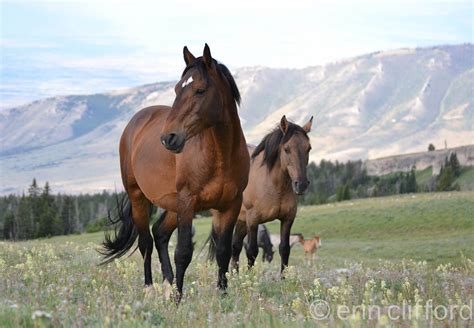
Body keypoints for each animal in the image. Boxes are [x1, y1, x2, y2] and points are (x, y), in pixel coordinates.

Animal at [98, 44, 250, 302]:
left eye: (200, 90)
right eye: (178, 89)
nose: (168, 138)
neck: (221, 155)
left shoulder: (230, 205)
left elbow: (223, 252)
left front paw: (222, 295)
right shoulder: (188, 202)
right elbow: (183, 252)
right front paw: (179, 299)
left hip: (171, 203)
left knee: (159, 234)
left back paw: (167, 284)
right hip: (139, 197)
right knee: (146, 242)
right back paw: (150, 289)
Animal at [231, 115, 312, 274]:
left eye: (308, 148)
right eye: (286, 149)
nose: (301, 185)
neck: (274, 186)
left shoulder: (288, 218)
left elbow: (284, 249)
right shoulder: (253, 220)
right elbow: (252, 251)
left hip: (241, 221)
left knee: (235, 247)